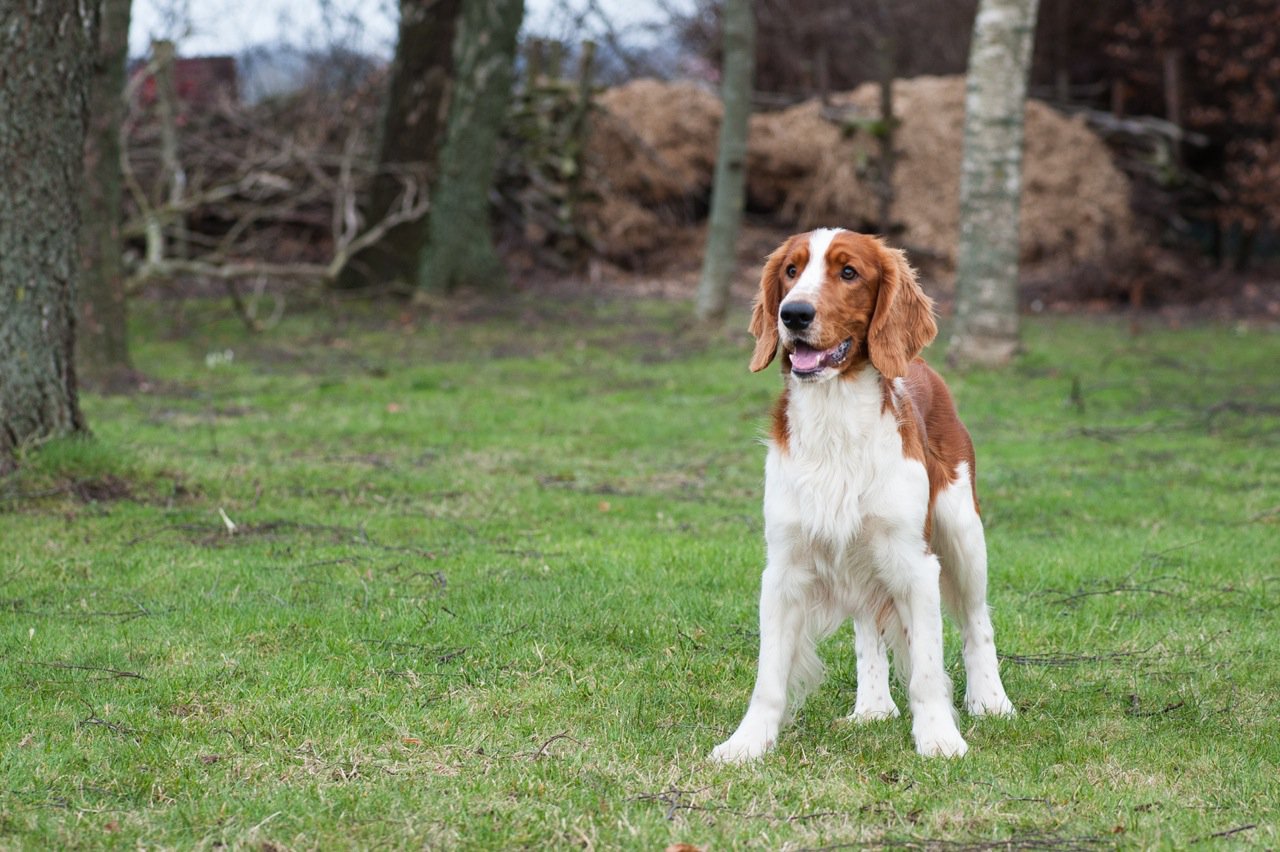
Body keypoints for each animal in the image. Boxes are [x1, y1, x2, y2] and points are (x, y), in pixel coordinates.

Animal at [706, 225, 1013, 757]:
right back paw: (872, 707)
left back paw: (991, 701)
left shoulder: (915, 563)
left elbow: (928, 670)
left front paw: (939, 738)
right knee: (868, 624)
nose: (793, 313)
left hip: (962, 530)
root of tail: (922, 363)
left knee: (978, 621)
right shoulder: (784, 567)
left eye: (848, 272)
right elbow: (769, 677)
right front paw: (746, 744)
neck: (835, 419)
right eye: (791, 271)